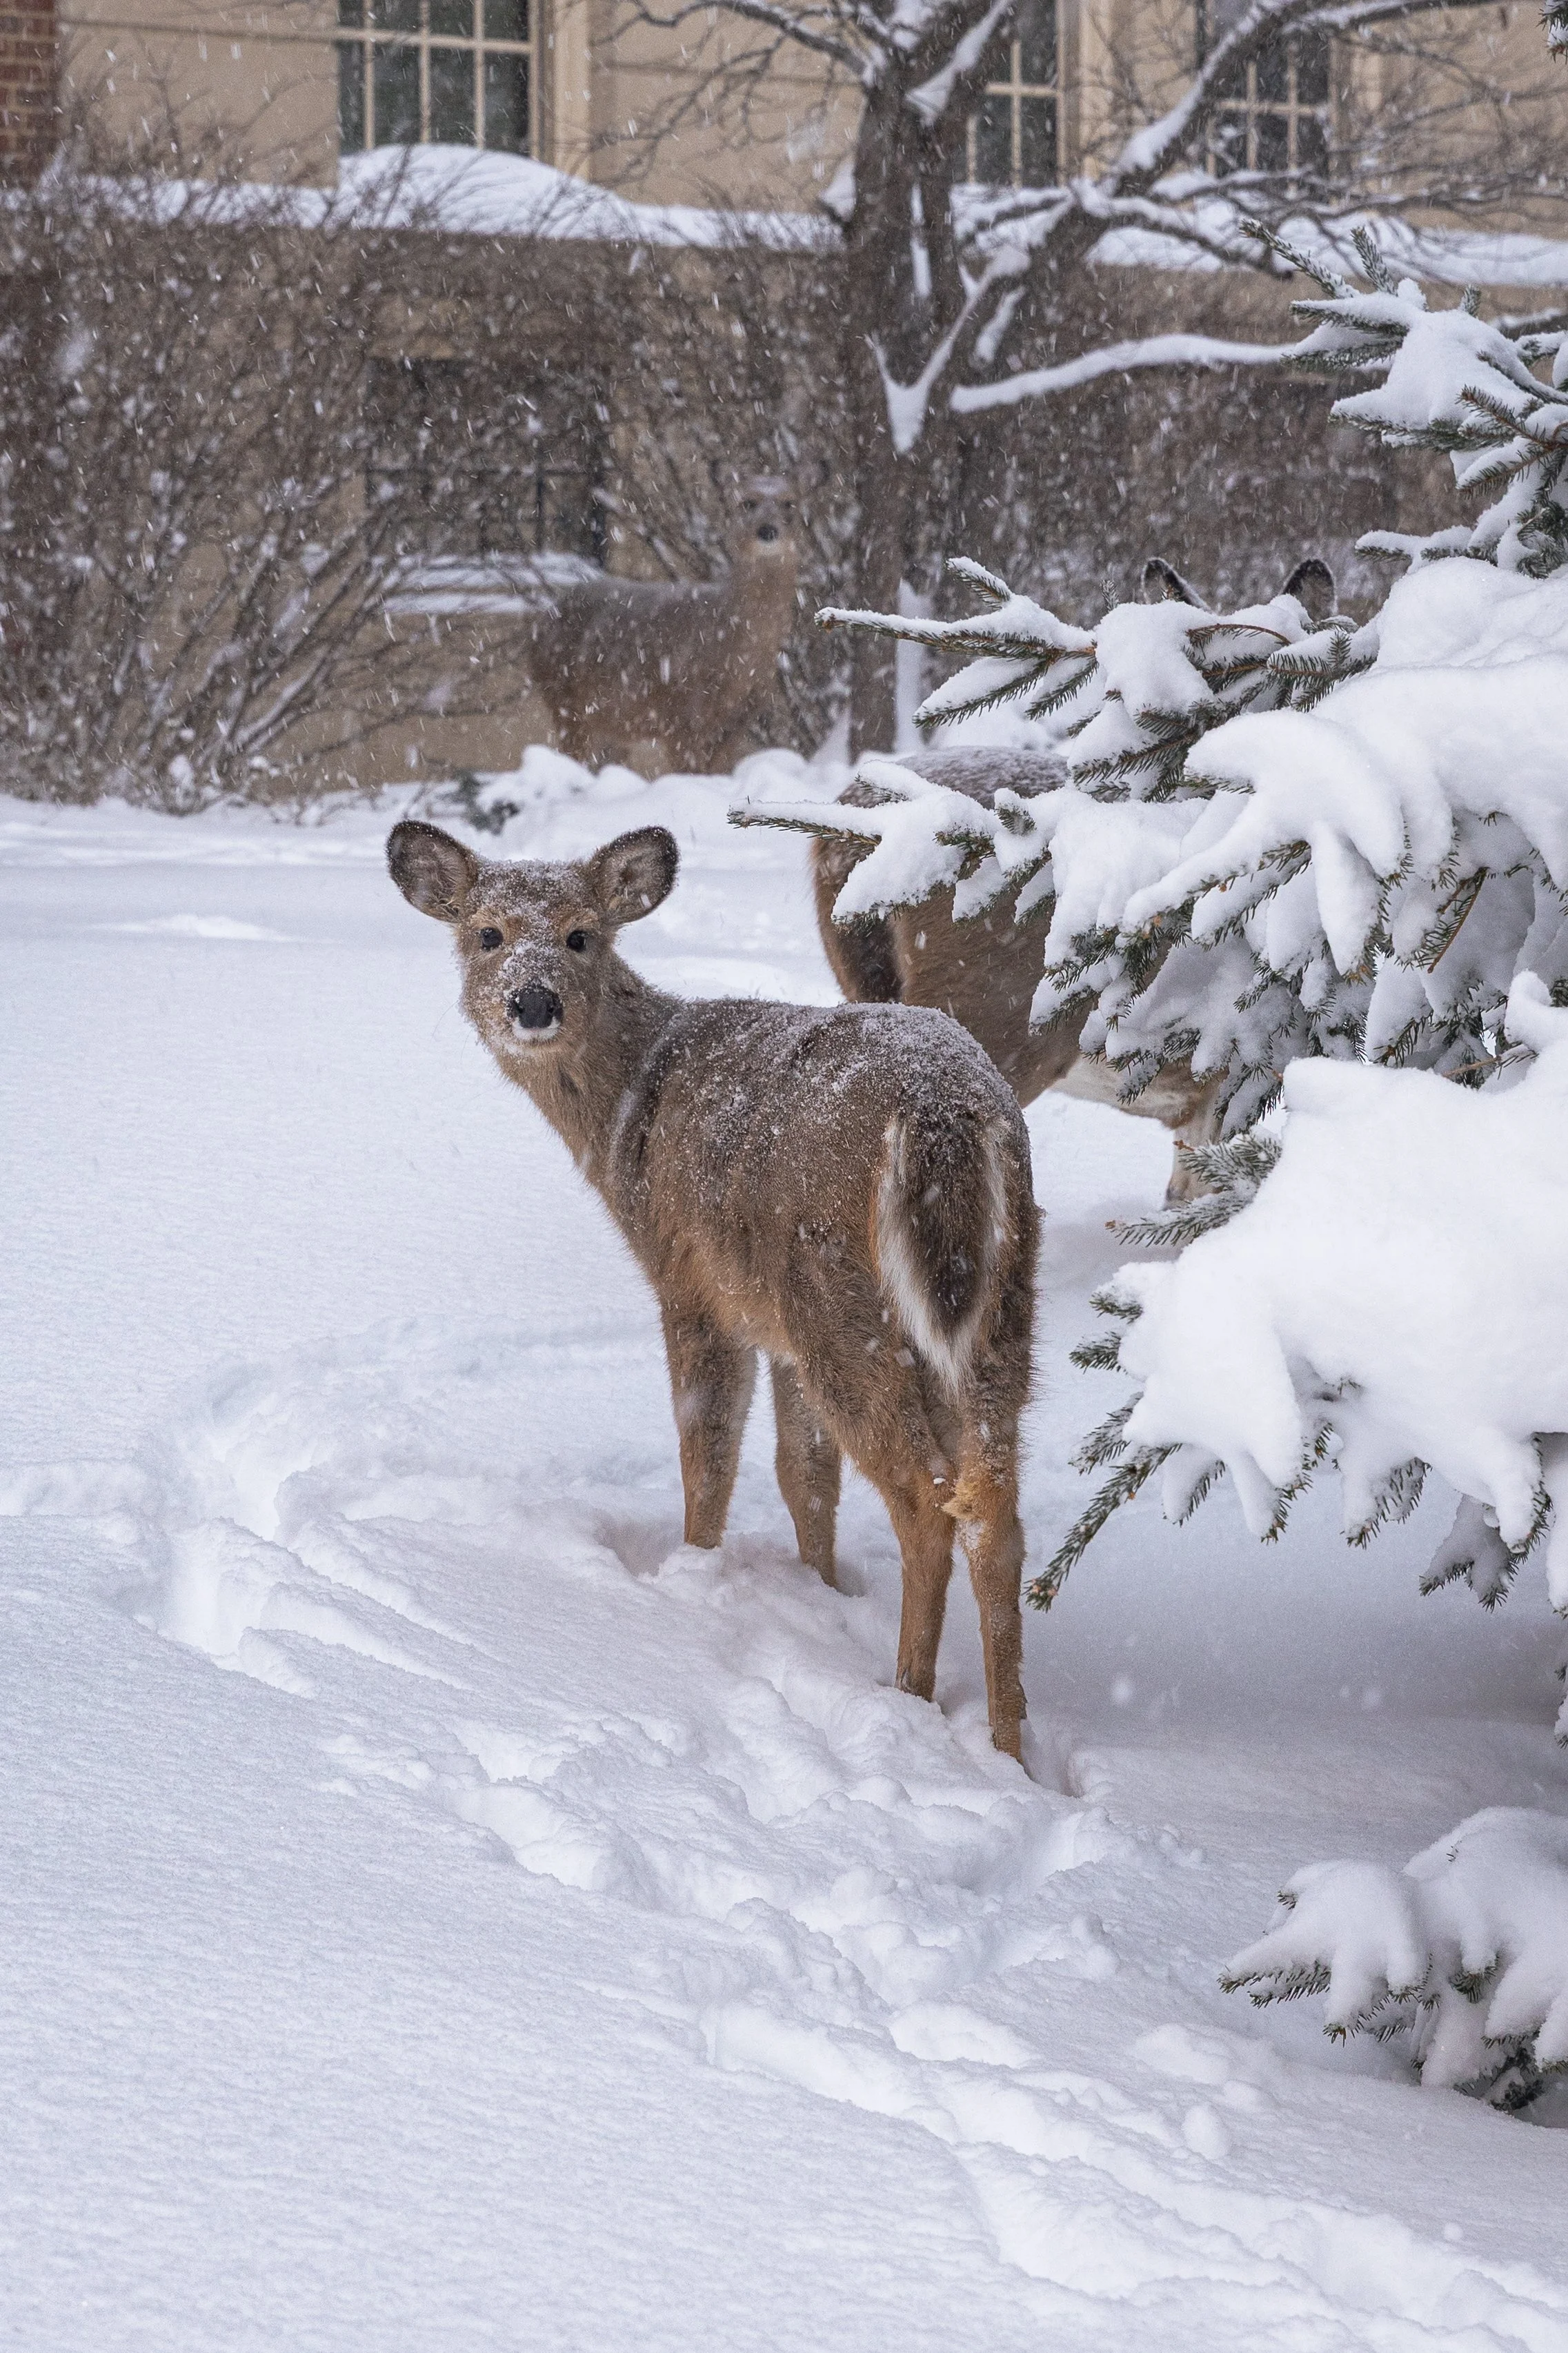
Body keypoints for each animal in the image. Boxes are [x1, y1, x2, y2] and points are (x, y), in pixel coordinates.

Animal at [387, 817, 1039, 1758]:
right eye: (487, 933)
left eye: (581, 934)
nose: (533, 1003)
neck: (626, 1116)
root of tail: (941, 1109)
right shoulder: (776, 1329)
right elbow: (804, 1475)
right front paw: (818, 1592)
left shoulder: (693, 1284)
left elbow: (708, 1455)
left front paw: (691, 1578)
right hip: (994, 1307)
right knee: (996, 1511)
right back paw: (1007, 1746)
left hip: (843, 1301)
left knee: (927, 1500)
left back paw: (908, 1698)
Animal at [520, 479, 799, 779]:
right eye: (747, 502)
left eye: (790, 503)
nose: (767, 530)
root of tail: (543, 619)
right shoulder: (681, 717)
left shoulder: (739, 723)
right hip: (565, 702)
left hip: (610, 721)